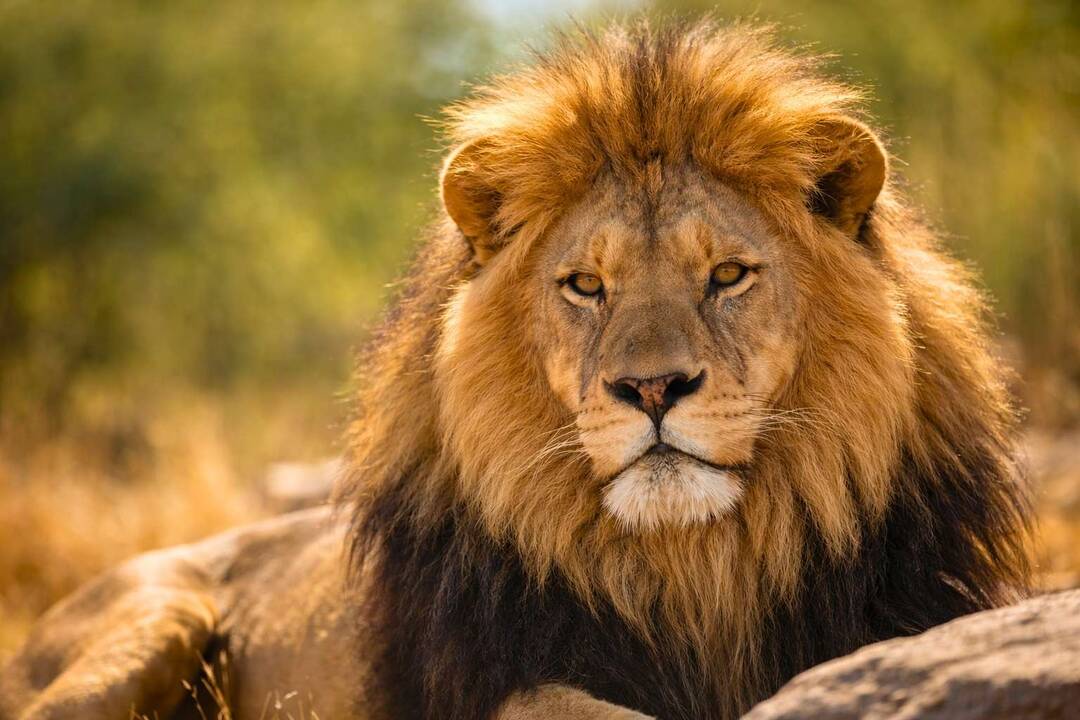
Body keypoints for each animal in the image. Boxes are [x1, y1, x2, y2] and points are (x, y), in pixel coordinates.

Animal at [0, 19, 1031, 720]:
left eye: (728, 276)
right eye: (585, 286)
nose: (651, 390)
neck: (700, 571)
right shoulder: (501, 686)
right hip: (153, 615)